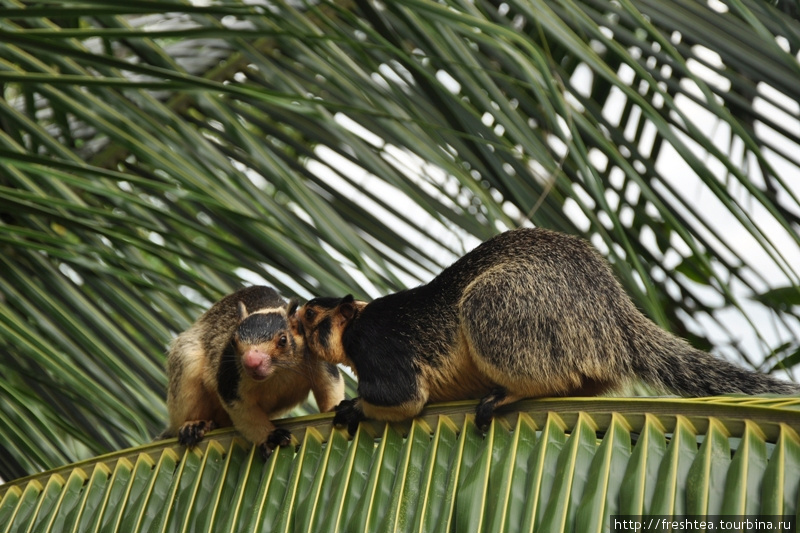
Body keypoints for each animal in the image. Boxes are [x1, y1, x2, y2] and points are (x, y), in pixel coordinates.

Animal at [164, 284, 346, 456]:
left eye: (283, 340)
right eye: (233, 341)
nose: (252, 362)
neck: (278, 372)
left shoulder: (318, 356)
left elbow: (329, 384)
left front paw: (335, 409)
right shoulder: (231, 379)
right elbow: (246, 415)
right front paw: (271, 437)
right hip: (187, 361)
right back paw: (193, 425)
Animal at [296, 225, 800, 432]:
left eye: (308, 318)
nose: (293, 321)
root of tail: (615, 314)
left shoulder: (374, 343)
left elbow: (405, 396)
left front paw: (354, 408)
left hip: (514, 306)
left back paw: (510, 393)